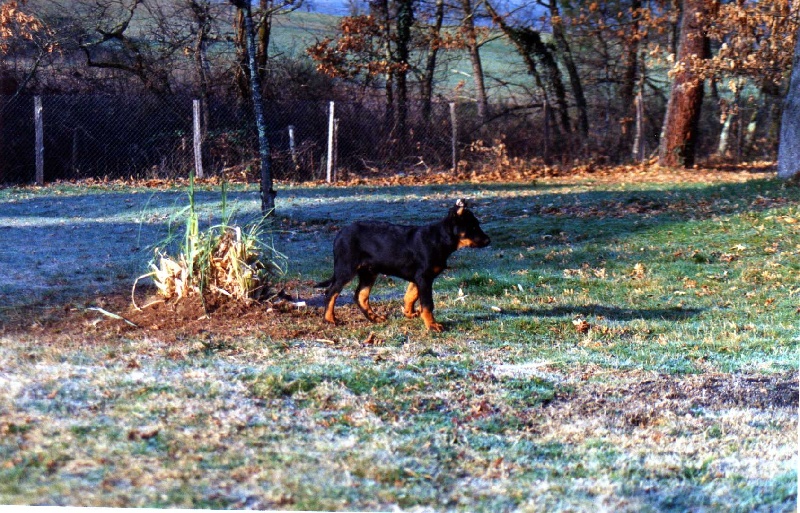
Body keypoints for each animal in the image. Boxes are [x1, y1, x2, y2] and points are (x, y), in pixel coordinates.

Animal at [316, 198, 490, 330]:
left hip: (369, 272)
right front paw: (432, 325)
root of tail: (339, 234)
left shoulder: (419, 278)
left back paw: (374, 317)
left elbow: (411, 296)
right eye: (473, 226)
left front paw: (409, 313)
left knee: (360, 295)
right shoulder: (424, 277)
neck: (439, 238)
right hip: (346, 269)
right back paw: (330, 319)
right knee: (331, 292)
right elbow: (427, 303)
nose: (488, 241)